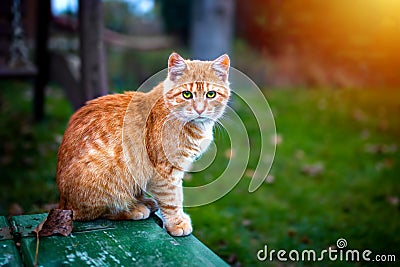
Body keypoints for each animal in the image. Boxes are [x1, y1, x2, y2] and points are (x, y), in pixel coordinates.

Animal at [56, 52, 231, 237]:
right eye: (186, 94)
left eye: (211, 94)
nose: (199, 110)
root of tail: (63, 202)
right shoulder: (165, 171)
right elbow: (172, 199)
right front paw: (176, 223)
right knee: (97, 212)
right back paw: (133, 209)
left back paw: (144, 202)